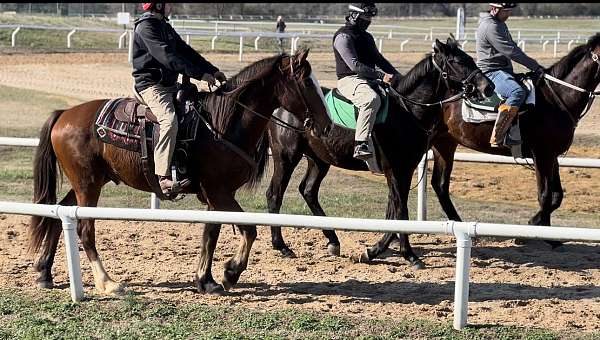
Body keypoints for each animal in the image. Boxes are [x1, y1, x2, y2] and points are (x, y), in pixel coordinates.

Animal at [28, 49, 330, 294]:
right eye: (306, 82)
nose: (326, 126)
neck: (221, 124)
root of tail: (64, 114)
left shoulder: (216, 195)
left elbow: (211, 233)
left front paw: (206, 280)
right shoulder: (218, 191)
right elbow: (249, 229)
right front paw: (230, 273)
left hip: (87, 182)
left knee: (58, 216)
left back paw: (44, 273)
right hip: (88, 184)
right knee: (84, 229)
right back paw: (108, 282)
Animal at [428, 32, 600, 247]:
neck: (556, 97)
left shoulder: (552, 156)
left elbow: (556, 196)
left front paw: (546, 233)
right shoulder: (542, 155)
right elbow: (544, 196)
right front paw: (532, 232)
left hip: (445, 145)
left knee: (440, 185)